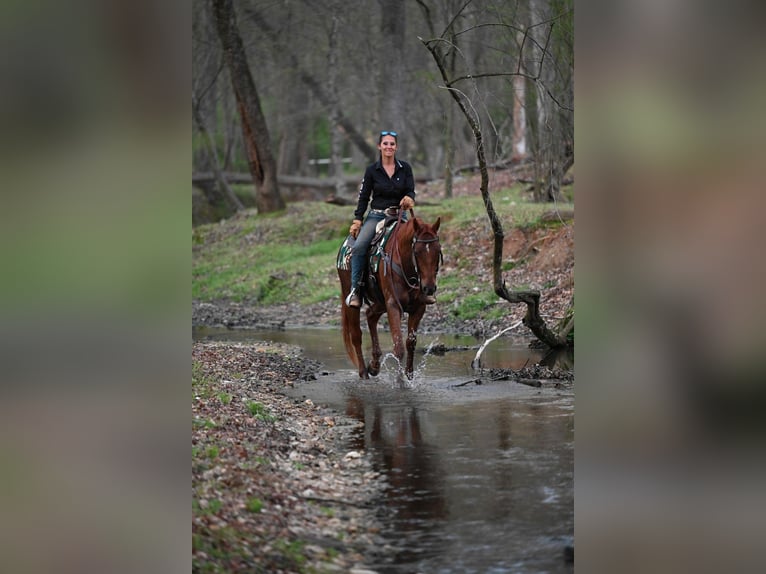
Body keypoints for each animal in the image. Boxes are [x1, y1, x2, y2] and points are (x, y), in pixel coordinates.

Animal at [337, 211, 442, 379]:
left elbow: (410, 343)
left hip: (380, 302)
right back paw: (364, 372)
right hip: (350, 295)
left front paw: (409, 376)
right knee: (356, 335)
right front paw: (400, 381)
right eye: (417, 252)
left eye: (438, 250)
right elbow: (398, 347)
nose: (429, 288)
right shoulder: (393, 305)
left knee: (370, 315)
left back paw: (374, 366)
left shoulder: (418, 308)